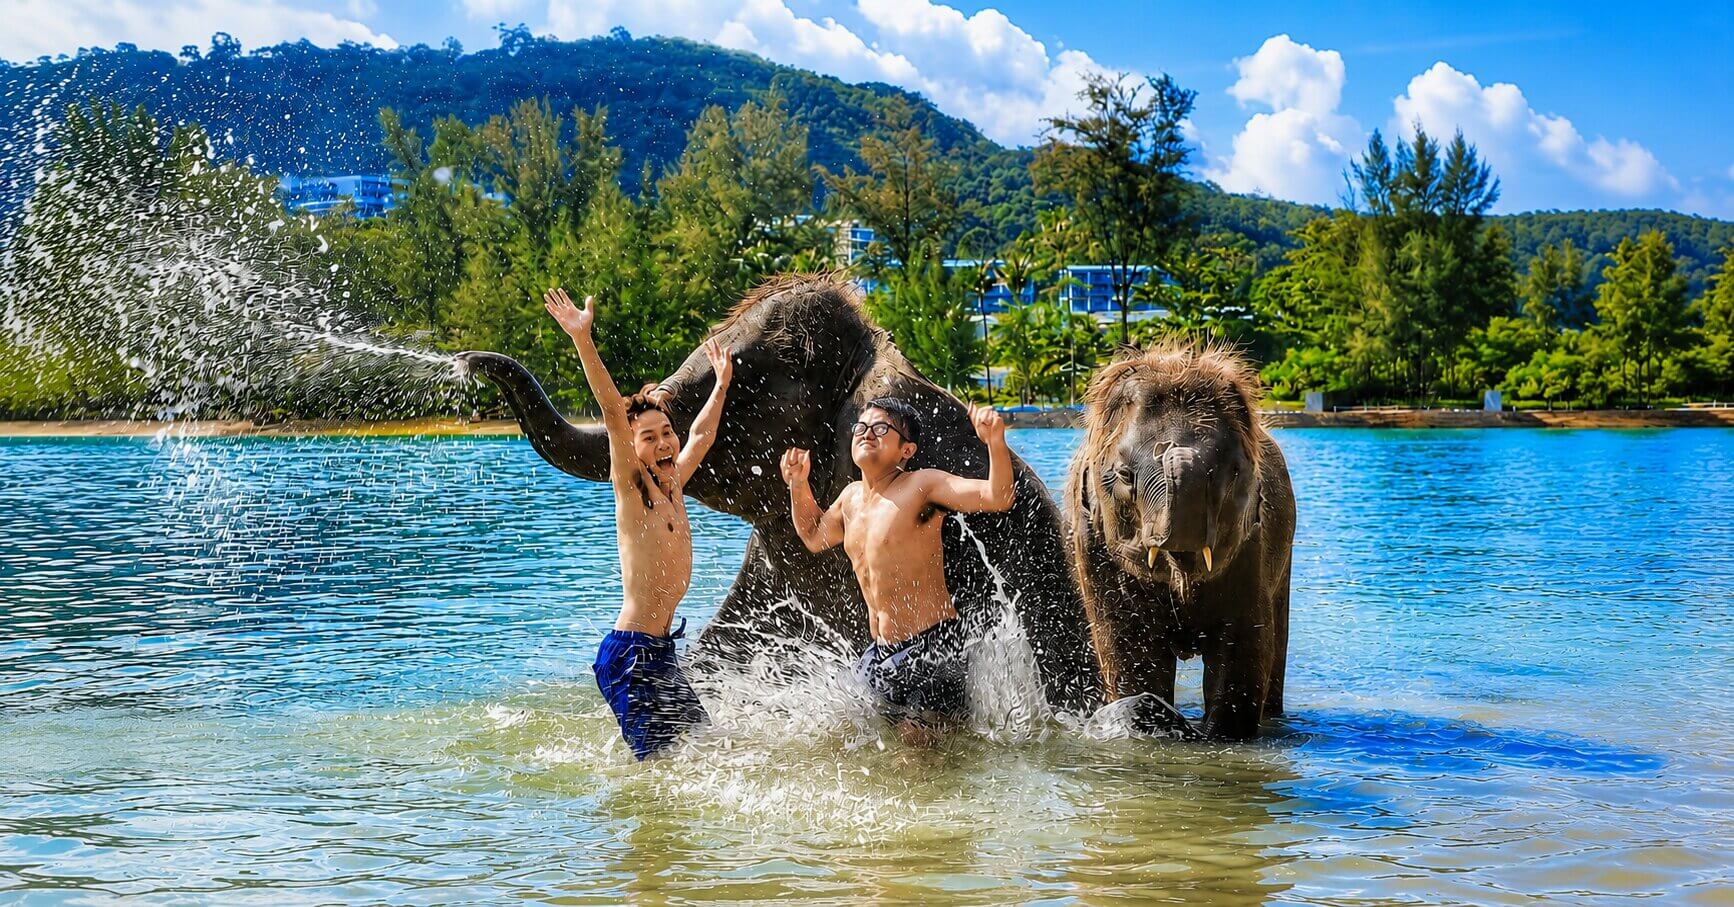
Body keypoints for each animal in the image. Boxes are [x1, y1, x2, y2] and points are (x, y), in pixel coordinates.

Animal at [1063, 340, 1296, 739]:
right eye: (1124, 474)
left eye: (1235, 471)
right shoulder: (1092, 545)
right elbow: (1131, 654)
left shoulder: (1253, 546)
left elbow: (1243, 650)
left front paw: (1218, 734)